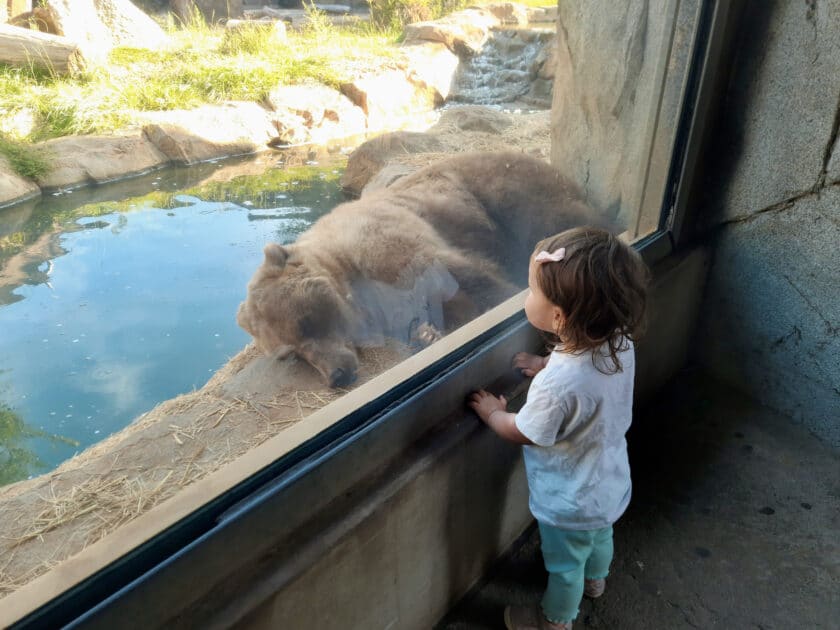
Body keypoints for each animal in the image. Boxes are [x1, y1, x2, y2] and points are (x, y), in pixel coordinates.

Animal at [236, 151, 616, 388]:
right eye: (290, 354)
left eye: (304, 322)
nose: (336, 375)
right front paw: (427, 334)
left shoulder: (386, 245)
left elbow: (462, 274)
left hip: (510, 191)